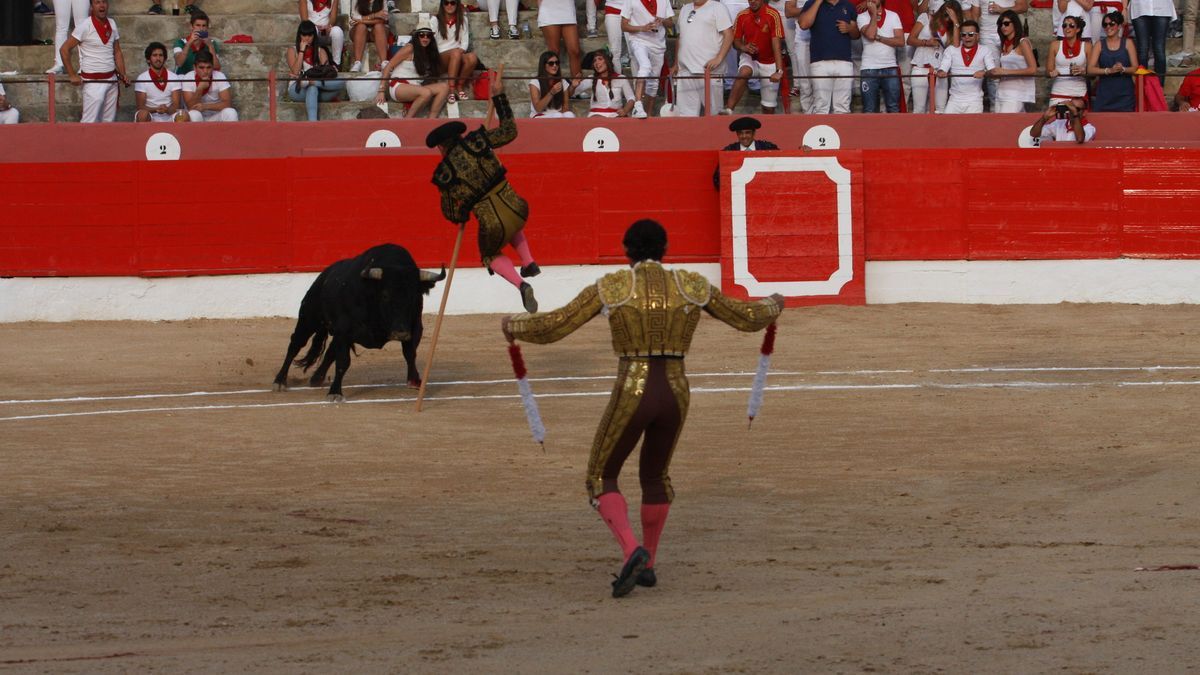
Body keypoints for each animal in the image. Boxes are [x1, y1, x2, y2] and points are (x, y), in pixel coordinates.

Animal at [272, 241, 446, 398]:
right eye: (385, 295)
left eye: (414, 296)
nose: (400, 333)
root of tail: (324, 275)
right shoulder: (344, 330)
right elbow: (343, 362)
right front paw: (335, 392)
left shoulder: (415, 327)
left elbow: (410, 353)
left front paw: (414, 380)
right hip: (309, 319)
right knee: (295, 345)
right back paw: (279, 381)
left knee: (329, 351)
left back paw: (317, 378)